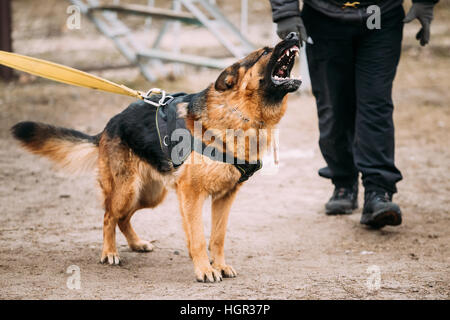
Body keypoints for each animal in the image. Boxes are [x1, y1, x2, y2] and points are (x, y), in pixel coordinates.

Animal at [10, 33, 300, 282]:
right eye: (264, 51)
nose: (294, 35)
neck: (239, 114)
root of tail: (108, 126)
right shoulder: (191, 194)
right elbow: (197, 237)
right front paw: (205, 270)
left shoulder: (225, 197)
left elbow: (217, 237)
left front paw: (220, 265)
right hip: (127, 190)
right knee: (108, 216)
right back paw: (109, 252)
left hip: (150, 195)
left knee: (123, 218)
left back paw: (136, 243)